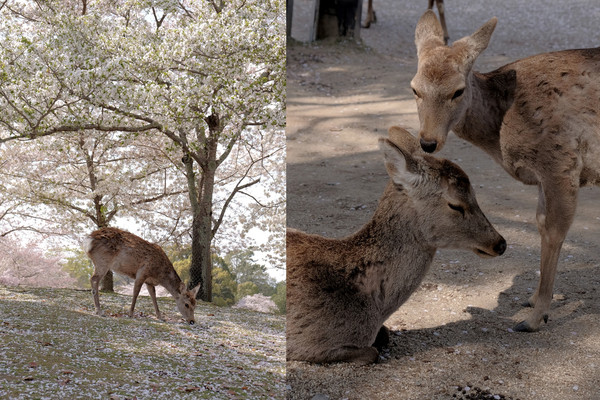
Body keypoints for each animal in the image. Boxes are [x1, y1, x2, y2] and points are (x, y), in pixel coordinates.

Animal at [410, 10, 600, 332]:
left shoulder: (561, 163)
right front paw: (533, 300)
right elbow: (540, 223)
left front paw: (535, 318)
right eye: (414, 88)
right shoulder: (542, 176)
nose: (428, 142)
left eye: (458, 91)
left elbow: (554, 231)